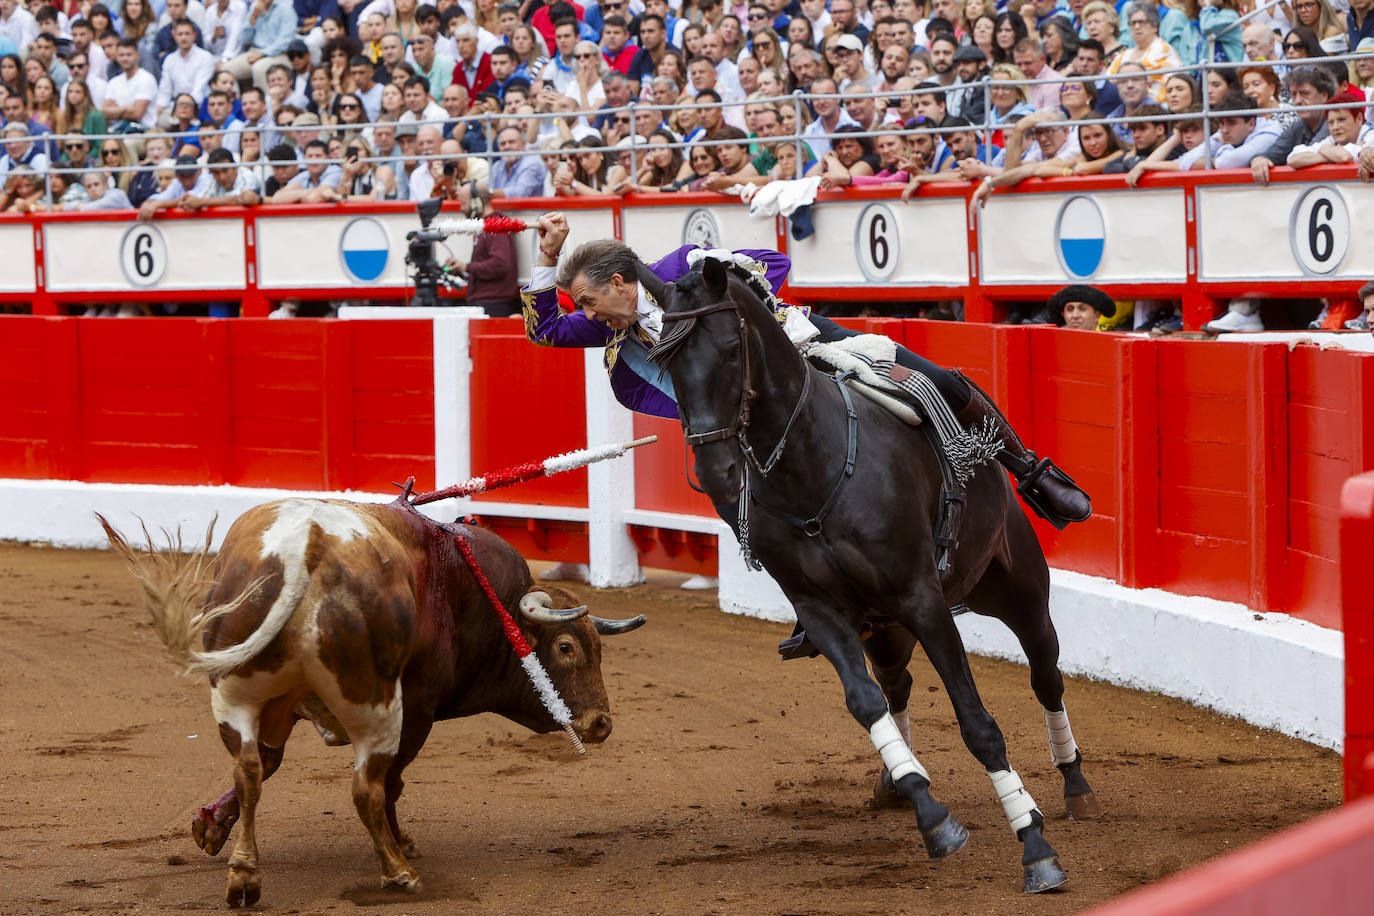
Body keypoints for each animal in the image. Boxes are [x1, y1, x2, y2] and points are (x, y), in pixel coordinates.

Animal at [101, 491, 648, 906]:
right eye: (566, 648)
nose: (601, 723)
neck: (480, 596)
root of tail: (307, 545)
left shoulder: (282, 707)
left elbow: (270, 764)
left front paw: (211, 827)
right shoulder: (419, 711)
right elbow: (393, 784)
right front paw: (402, 842)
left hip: (237, 691)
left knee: (249, 769)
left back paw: (244, 876)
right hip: (377, 705)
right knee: (366, 786)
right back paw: (397, 871)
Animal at [645, 258, 1104, 895]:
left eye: (731, 351)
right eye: (664, 364)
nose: (716, 471)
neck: (811, 470)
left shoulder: (923, 600)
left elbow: (978, 723)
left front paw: (1034, 845)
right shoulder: (821, 611)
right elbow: (864, 702)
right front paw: (931, 815)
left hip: (1018, 592)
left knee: (1046, 676)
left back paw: (1075, 784)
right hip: (882, 626)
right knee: (896, 685)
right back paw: (897, 781)